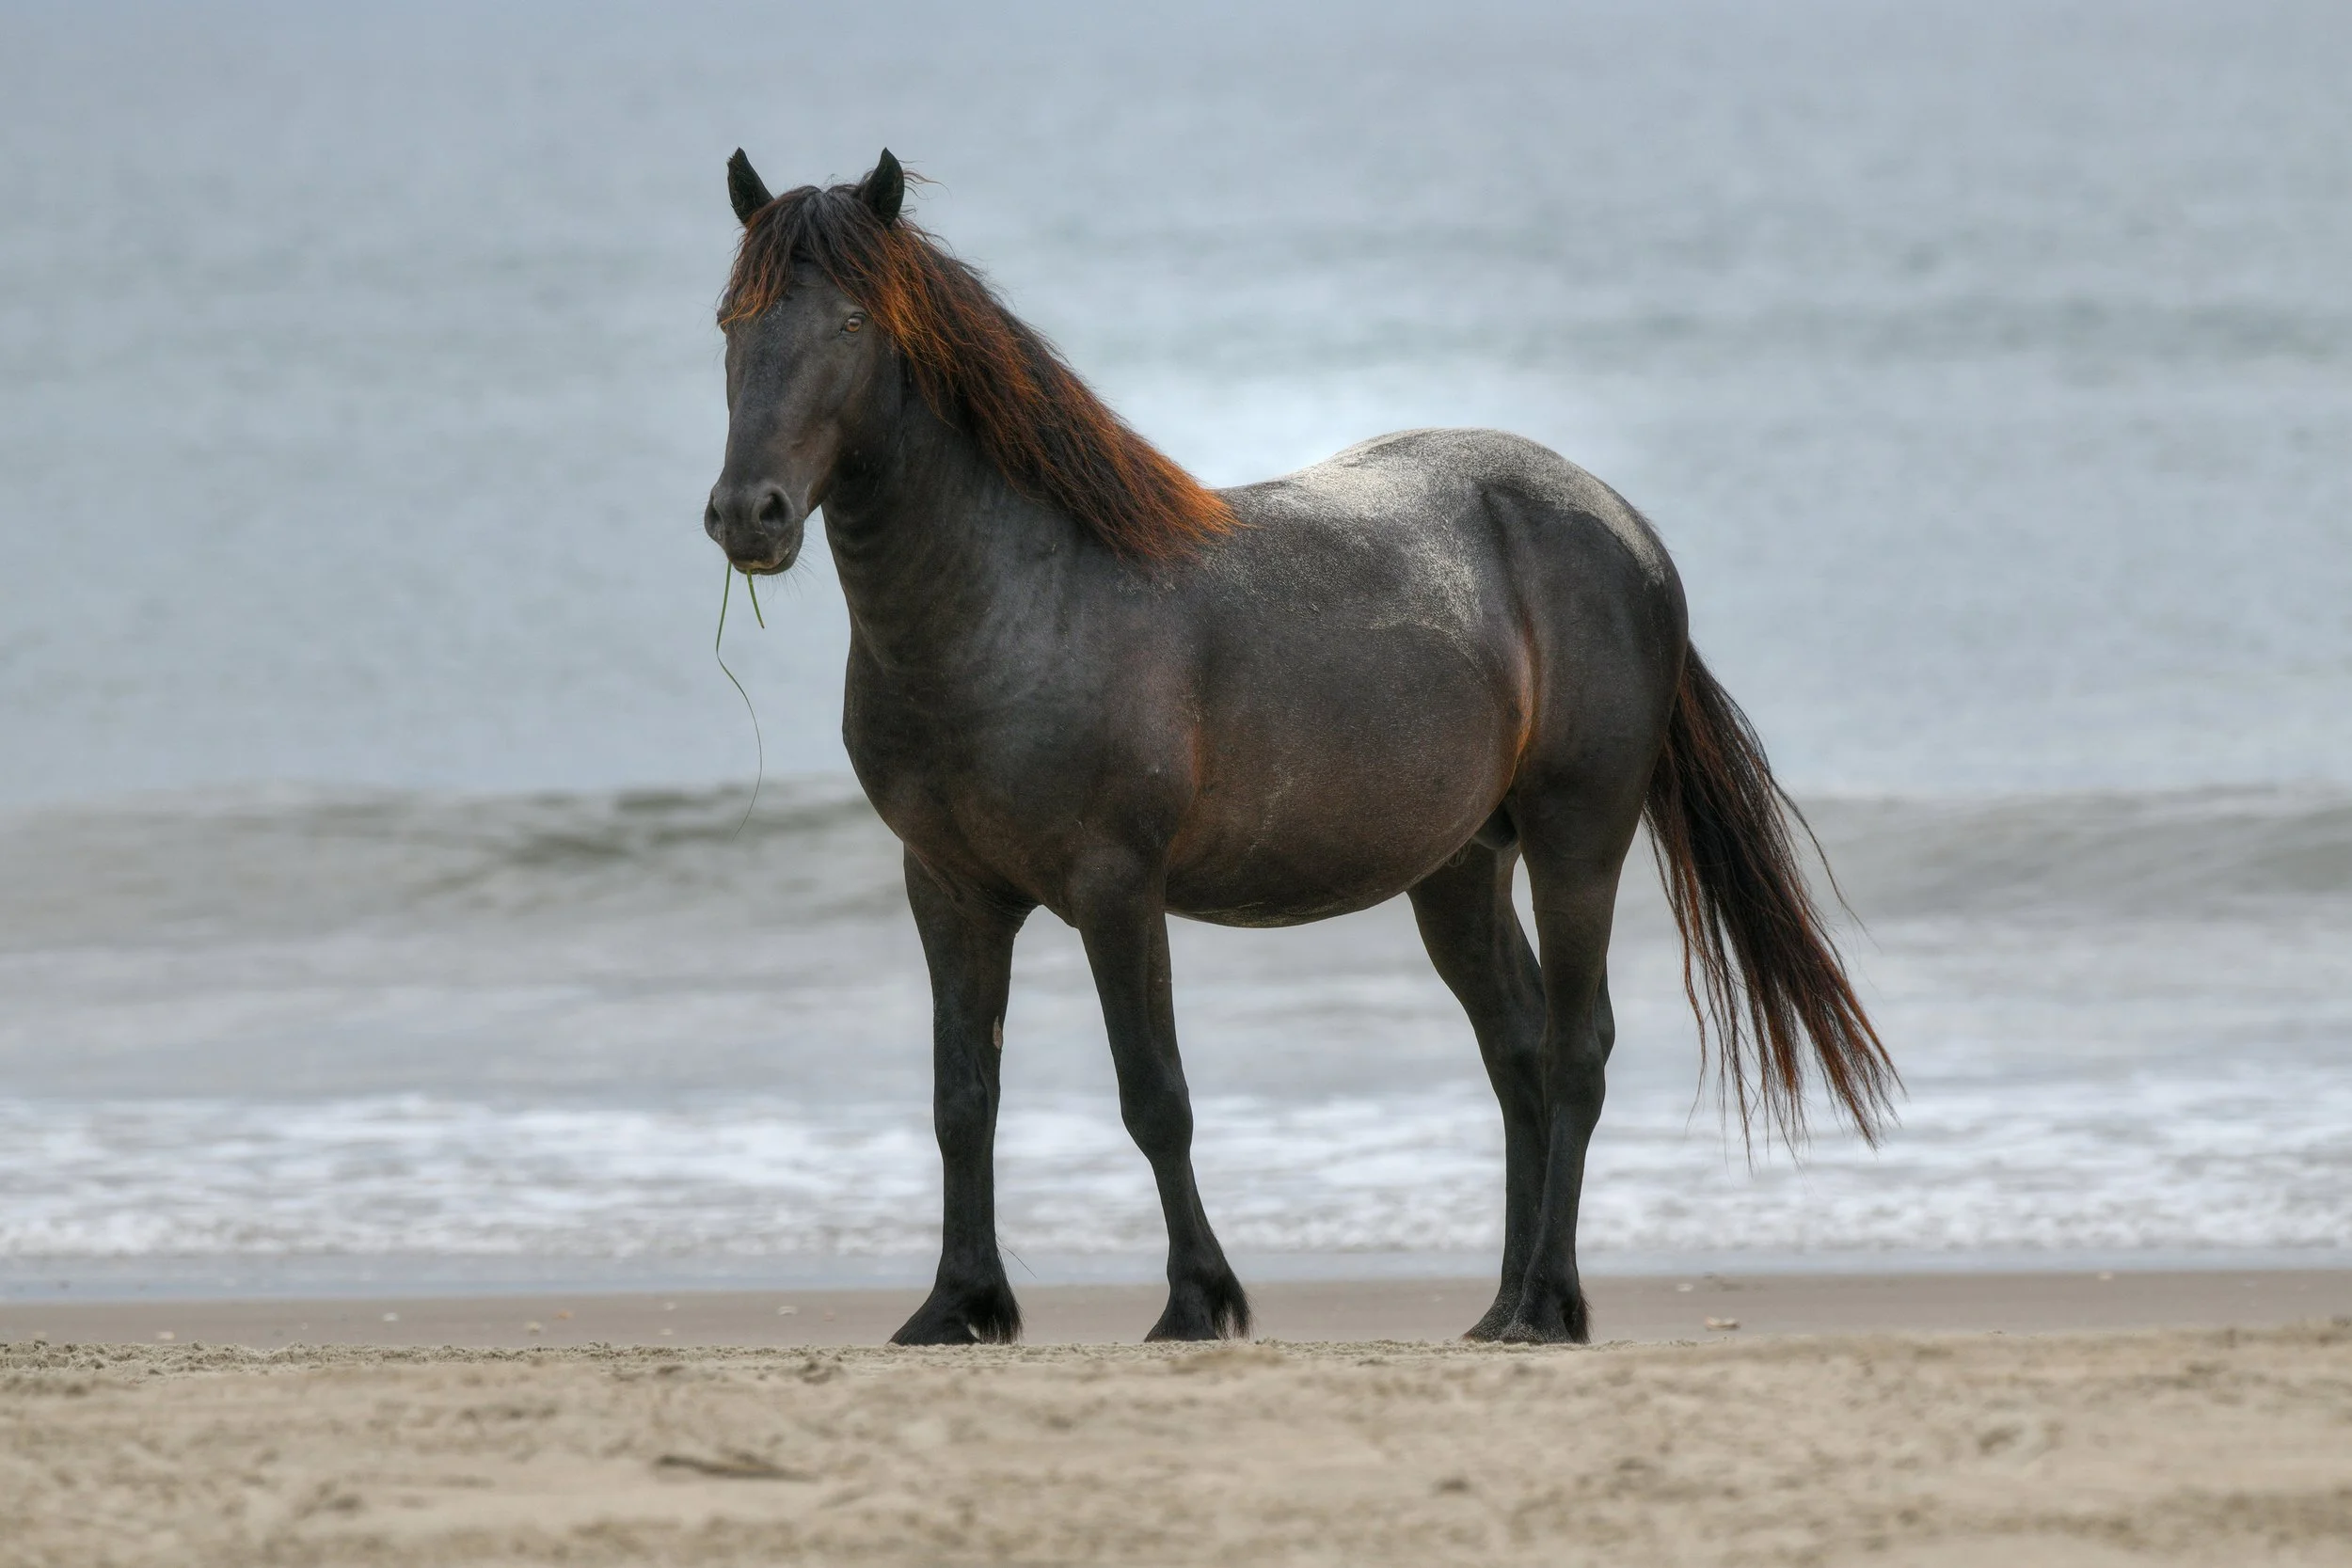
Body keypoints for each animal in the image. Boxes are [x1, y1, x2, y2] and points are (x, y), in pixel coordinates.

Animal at [705, 148, 1894, 1345]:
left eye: (853, 319)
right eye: (729, 320)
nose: (749, 515)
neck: (1019, 598)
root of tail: (1626, 529)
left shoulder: (1116, 885)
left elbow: (1154, 1093)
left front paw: (1197, 1298)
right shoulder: (948, 888)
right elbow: (962, 1099)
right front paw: (958, 1303)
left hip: (1577, 841)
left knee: (1576, 1051)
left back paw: (1546, 1301)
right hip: (1460, 867)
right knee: (1515, 1050)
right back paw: (1501, 1302)